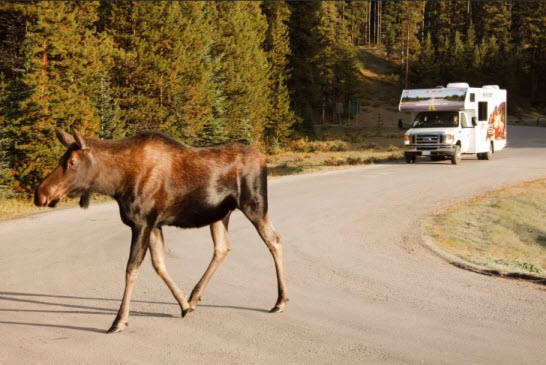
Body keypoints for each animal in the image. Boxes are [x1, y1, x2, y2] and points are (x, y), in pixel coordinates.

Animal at [33, 127, 288, 332]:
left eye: (72, 162)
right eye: (62, 158)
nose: (41, 194)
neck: (116, 184)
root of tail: (263, 159)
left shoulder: (142, 223)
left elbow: (132, 269)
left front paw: (119, 321)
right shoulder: (154, 225)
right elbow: (159, 265)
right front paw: (183, 304)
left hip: (255, 204)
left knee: (274, 240)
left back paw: (280, 301)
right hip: (219, 215)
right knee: (222, 248)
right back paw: (194, 297)